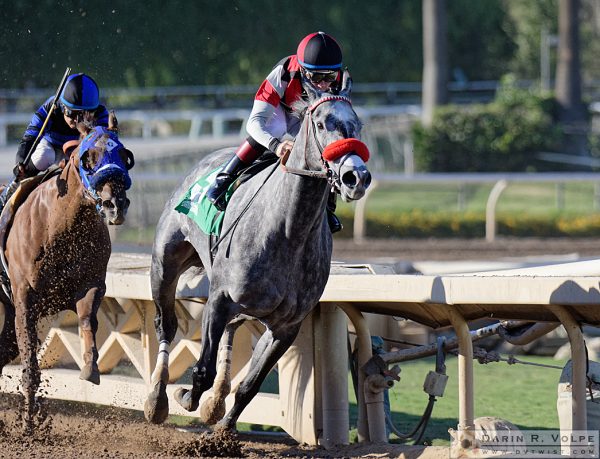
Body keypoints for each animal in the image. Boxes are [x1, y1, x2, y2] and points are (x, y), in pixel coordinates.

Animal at [0, 115, 132, 432]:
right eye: (88, 157)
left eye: (125, 155)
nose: (115, 205)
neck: (60, 226)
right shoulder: (24, 301)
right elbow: (30, 366)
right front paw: (29, 426)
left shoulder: (91, 284)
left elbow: (87, 319)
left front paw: (90, 368)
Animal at [145, 72, 370, 432]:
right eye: (322, 123)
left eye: (357, 123)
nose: (356, 177)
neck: (289, 232)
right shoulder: (220, 299)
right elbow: (203, 369)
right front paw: (187, 397)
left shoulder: (286, 325)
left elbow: (250, 384)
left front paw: (223, 428)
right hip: (164, 264)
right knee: (165, 324)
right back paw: (156, 399)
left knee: (231, 331)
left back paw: (214, 402)